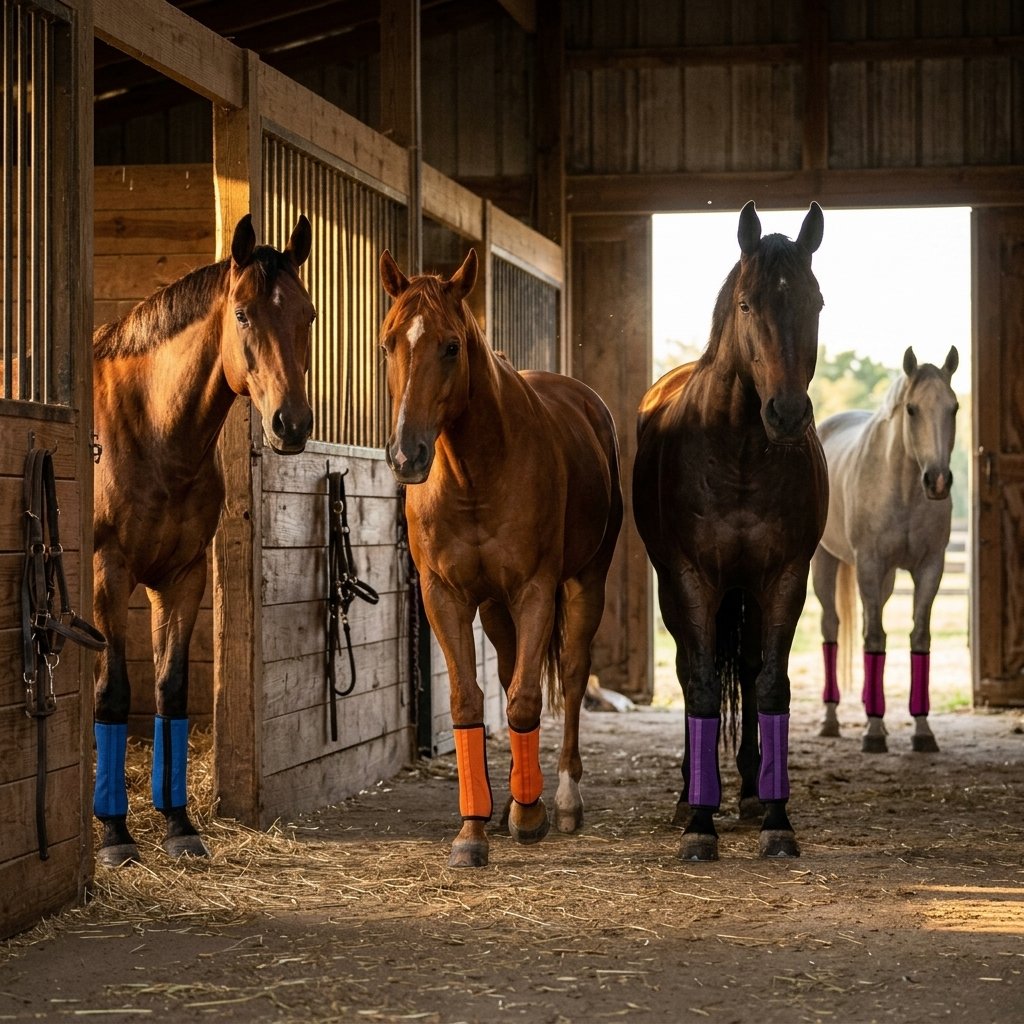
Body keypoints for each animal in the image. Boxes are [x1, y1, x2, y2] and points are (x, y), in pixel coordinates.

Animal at [91, 214, 315, 867]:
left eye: (309, 314)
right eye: (241, 314)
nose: (292, 425)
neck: (149, 428)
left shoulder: (182, 577)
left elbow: (172, 690)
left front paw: (179, 826)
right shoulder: (107, 573)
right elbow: (115, 691)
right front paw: (115, 836)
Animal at [378, 248, 623, 868]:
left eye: (451, 346)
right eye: (388, 343)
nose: (407, 455)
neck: (474, 476)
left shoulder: (535, 590)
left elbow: (527, 700)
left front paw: (532, 816)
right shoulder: (444, 596)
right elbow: (471, 701)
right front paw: (474, 829)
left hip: (584, 584)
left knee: (571, 674)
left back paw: (562, 799)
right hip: (494, 609)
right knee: (514, 670)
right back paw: (516, 793)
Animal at [633, 201, 828, 861]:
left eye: (816, 302)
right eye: (747, 304)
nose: (787, 414)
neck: (740, 451)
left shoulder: (784, 579)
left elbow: (769, 683)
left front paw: (777, 819)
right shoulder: (690, 580)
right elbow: (698, 686)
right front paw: (698, 823)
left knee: (742, 667)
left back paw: (746, 793)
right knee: (695, 670)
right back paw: (689, 796)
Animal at [812, 346, 959, 753]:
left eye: (954, 407)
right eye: (911, 409)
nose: (938, 481)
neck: (904, 488)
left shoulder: (929, 568)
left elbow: (918, 638)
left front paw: (922, 730)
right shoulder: (870, 564)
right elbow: (875, 639)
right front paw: (874, 732)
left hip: (886, 579)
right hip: (826, 564)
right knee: (832, 627)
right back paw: (831, 720)